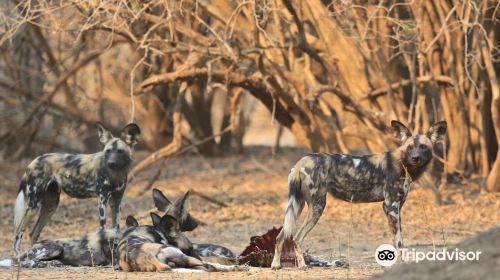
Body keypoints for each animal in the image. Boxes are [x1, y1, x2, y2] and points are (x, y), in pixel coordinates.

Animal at [13, 122, 141, 256]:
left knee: (33, 233)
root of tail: (34, 161)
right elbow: (103, 229)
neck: (116, 174)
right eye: (108, 151)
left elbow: (116, 228)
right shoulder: (102, 201)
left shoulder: (116, 202)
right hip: (33, 206)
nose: (111, 163)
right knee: (18, 231)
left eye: (120, 151)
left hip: (50, 206)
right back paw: (18, 255)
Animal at [272, 120, 448, 270]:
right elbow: (399, 243)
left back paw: (276, 265)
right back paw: (302, 266)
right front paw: (401, 266)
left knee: (281, 236)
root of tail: (301, 162)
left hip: (298, 205)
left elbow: (397, 241)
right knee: (297, 237)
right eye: (410, 147)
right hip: (317, 206)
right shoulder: (390, 207)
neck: (403, 164)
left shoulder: (396, 208)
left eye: (423, 147)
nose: (415, 158)